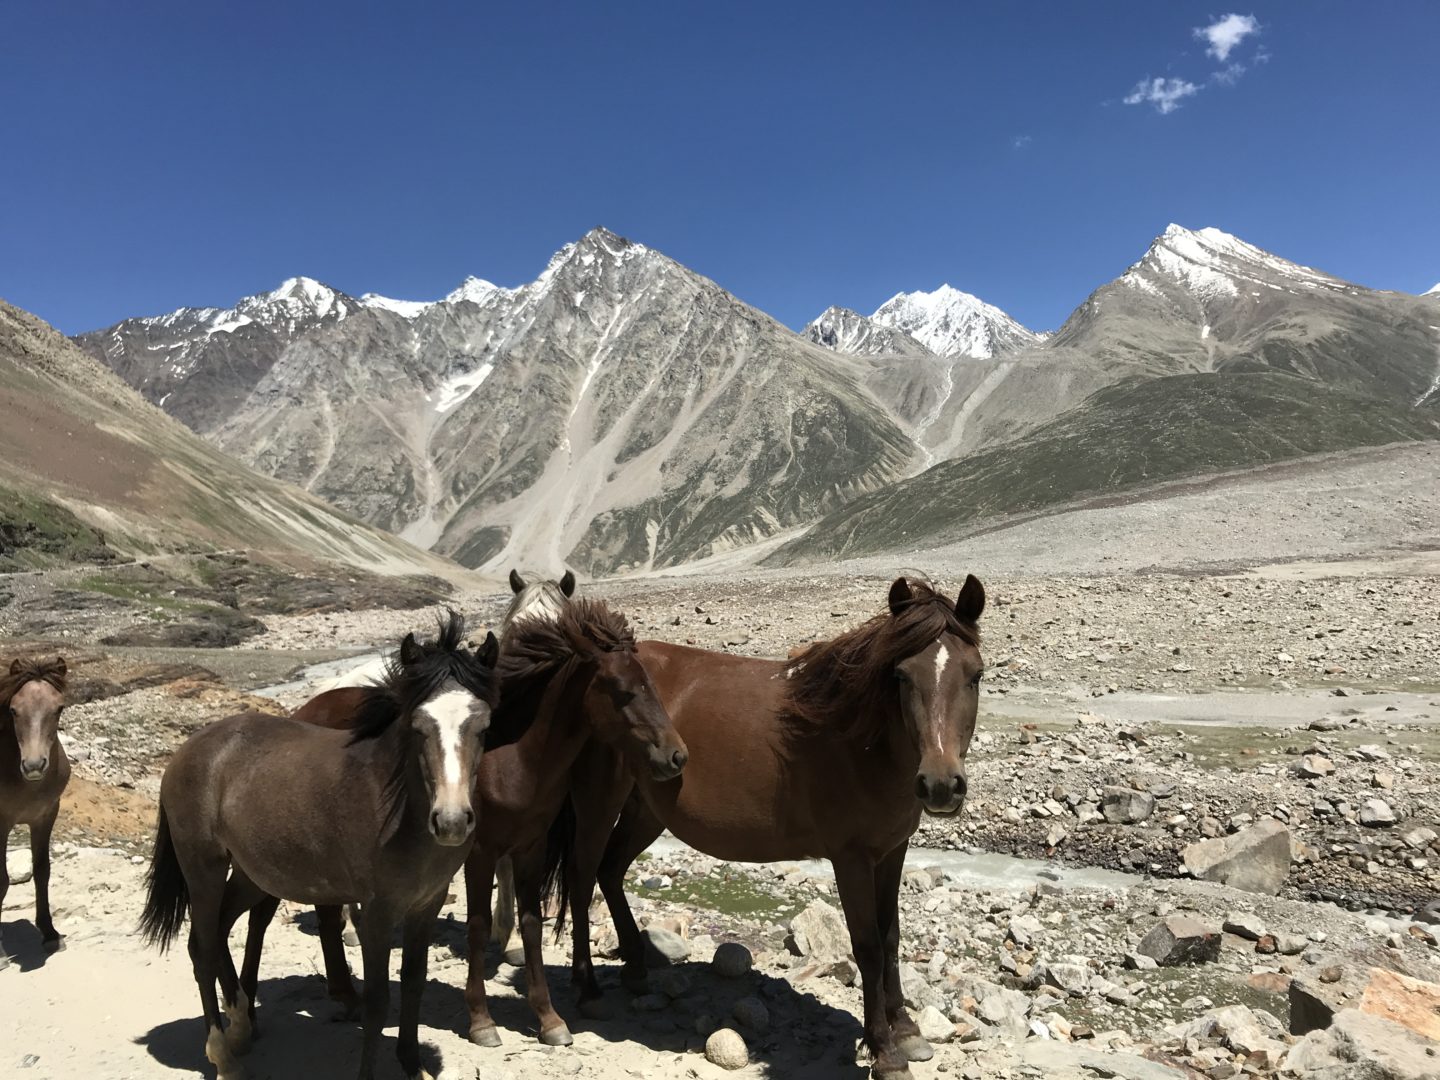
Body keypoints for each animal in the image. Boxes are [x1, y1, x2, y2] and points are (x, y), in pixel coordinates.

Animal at [138, 616, 524, 1080]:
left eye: (483, 727)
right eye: (418, 726)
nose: (450, 821)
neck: (395, 806)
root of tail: (190, 749)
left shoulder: (425, 906)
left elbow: (413, 984)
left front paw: (413, 1065)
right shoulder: (377, 912)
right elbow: (377, 1001)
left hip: (251, 874)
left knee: (221, 931)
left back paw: (241, 1025)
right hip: (204, 869)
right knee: (202, 948)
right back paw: (224, 1056)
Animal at [561, 578, 990, 1077]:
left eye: (975, 675)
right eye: (901, 676)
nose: (941, 785)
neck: (859, 740)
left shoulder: (892, 851)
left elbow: (891, 937)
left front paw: (905, 1029)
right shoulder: (851, 859)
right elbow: (867, 945)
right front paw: (884, 1050)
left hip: (645, 810)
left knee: (609, 871)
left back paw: (635, 967)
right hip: (598, 803)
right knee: (582, 879)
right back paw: (587, 990)